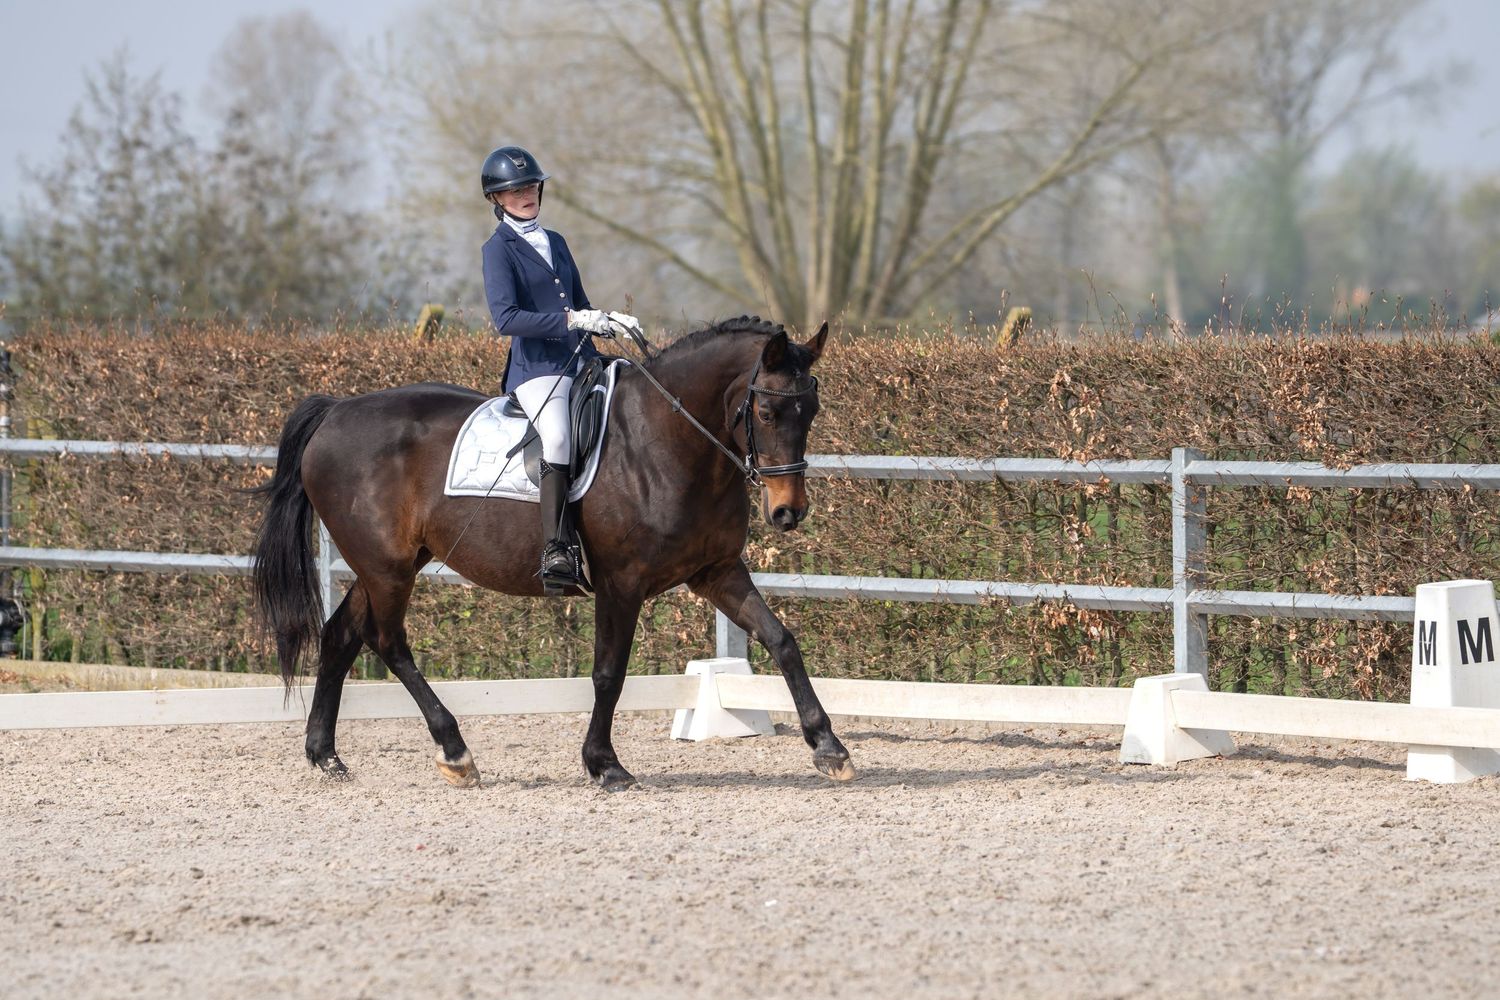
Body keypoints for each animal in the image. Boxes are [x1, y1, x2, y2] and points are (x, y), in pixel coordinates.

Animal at [250, 316, 854, 791]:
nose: (788, 512)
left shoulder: (716, 572)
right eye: (768, 412)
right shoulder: (621, 583)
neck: (668, 440)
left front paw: (829, 747)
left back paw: (326, 756)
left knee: (340, 635)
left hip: (390, 563)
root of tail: (335, 411)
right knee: (387, 641)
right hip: (386, 566)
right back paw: (455, 752)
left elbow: (781, 640)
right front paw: (605, 765)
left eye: (812, 410)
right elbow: (609, 672)